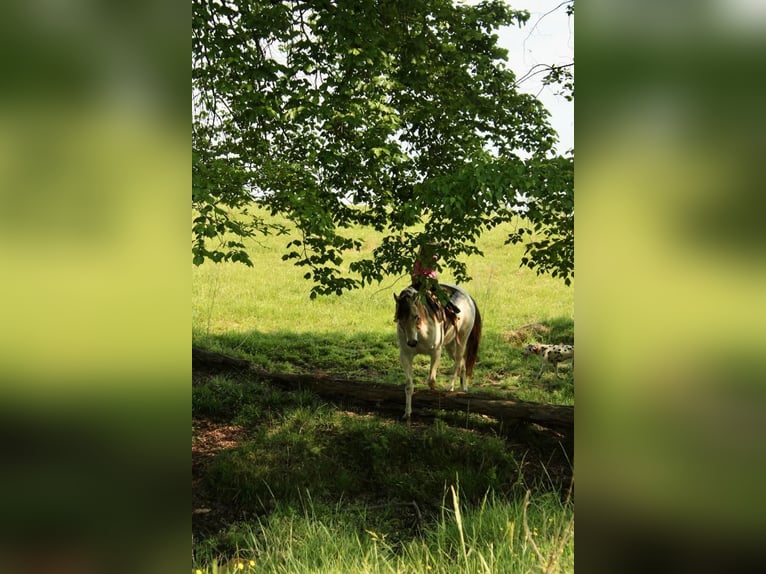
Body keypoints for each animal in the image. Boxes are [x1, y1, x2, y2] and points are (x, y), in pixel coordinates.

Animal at [392, 286, 484, 420]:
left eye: (416, 316)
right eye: (399, 318)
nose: (412, 342)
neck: (421, 331)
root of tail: (468, 297)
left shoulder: (435, 352)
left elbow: (431, 380)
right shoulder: (405, 355)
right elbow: (409, 386)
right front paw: (407, 413)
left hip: (462, 340)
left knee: (458, 362)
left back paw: (450, 387)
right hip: (450, 346)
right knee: (462, 362)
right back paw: (464, 388)